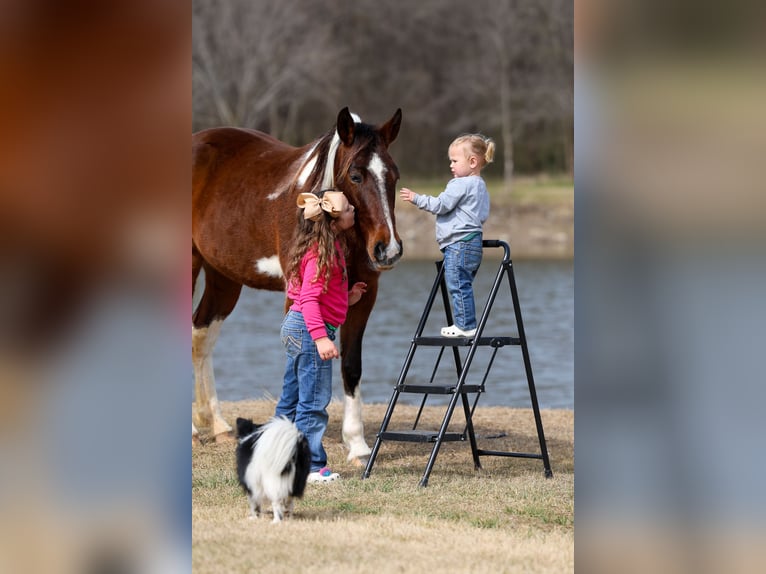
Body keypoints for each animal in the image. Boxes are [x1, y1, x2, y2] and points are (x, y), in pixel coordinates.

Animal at [192, 107, 403, 463]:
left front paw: (357, 445)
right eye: (356, 176)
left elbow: (351, 365)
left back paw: (217, 425)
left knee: (201, 335)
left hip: (223, 278)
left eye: (395, 176)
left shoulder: (365, 294)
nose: (388, 249)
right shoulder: (296, 296)